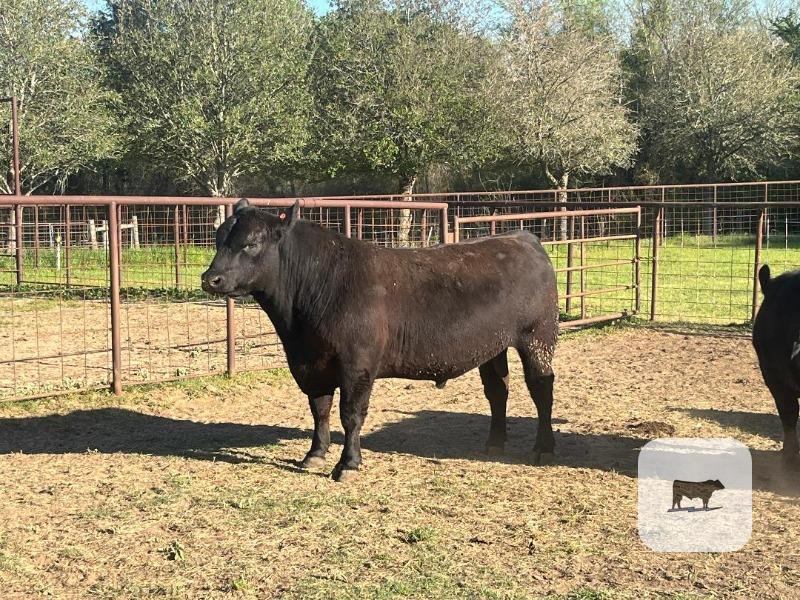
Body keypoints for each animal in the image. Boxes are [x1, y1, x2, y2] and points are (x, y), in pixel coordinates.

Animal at [201, 198, 559, 482]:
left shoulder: (357, 364)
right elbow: (320, 409)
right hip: (493, 346)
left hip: (537, 337)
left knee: (541, 388)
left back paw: (543, 448)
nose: (210, 279)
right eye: (219, 238)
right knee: (498, 390)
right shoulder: (309, 364)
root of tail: (520, 237)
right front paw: (315, 454)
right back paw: (494, 443)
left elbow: (350, 413)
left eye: (251, 243)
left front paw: (348, 464)